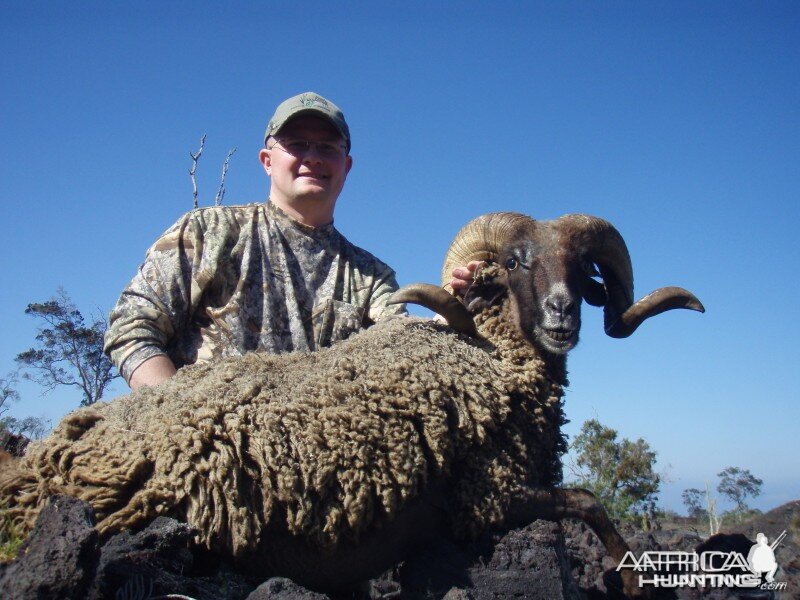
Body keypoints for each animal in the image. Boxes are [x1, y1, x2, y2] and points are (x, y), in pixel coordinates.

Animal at [0, 211, 700, 596]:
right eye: (511, 262)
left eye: (582, 268)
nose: (561, 316)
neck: (485, 358)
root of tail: (54, 448)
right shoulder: (486, 498)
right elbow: (590, 502)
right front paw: (633, 581)